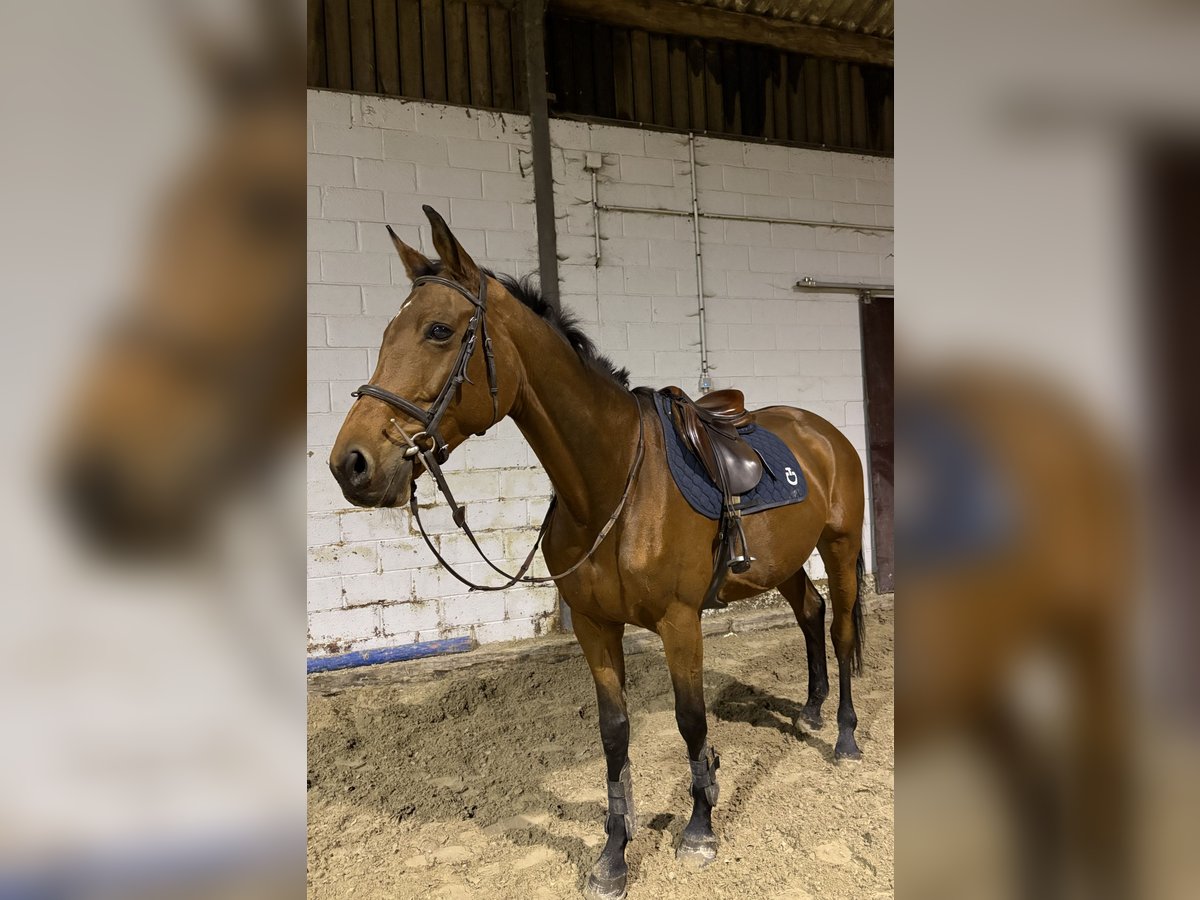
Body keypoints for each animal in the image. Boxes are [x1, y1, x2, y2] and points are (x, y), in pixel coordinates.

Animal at [329, 205, 868, 900]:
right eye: (386, 332)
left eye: (439, 330)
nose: (351, 464)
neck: (611, 485)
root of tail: (822, 432)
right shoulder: (592, 625)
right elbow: (615, 734)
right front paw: (614, 854)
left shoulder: (679, 622)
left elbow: (691, 719)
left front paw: (700, 828)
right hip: (784, 562)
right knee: (810, 614)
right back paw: (811, 710)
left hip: (841, 545)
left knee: (843, 629)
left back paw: (846, 738)